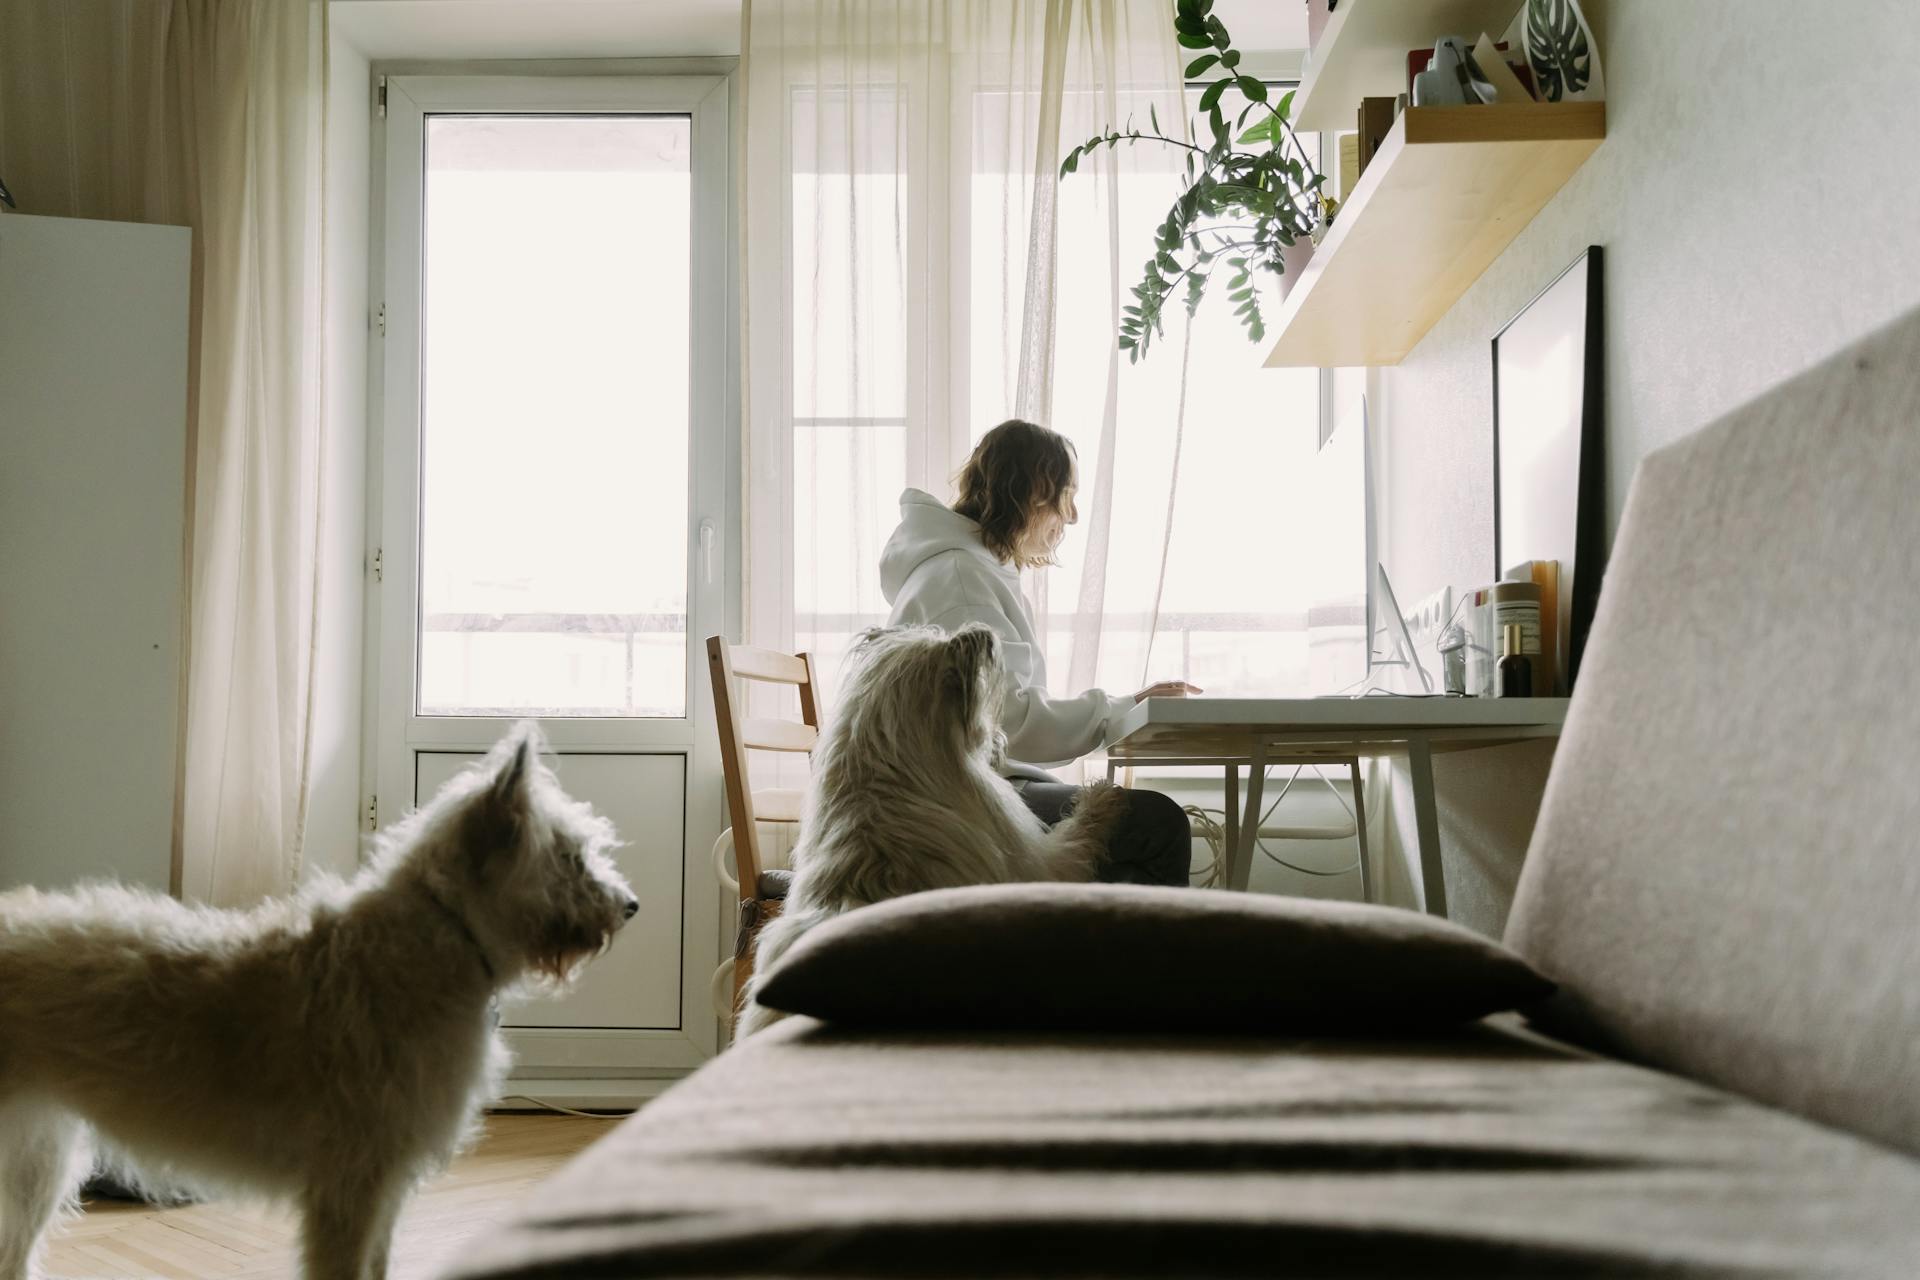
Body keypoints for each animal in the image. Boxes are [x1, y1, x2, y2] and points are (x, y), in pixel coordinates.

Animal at [0, 721, 641, 1280]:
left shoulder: (381, 1189)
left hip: (37, 1156)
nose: (631, 905)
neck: (441, 932)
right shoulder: (349, 1190)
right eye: (571, 857)